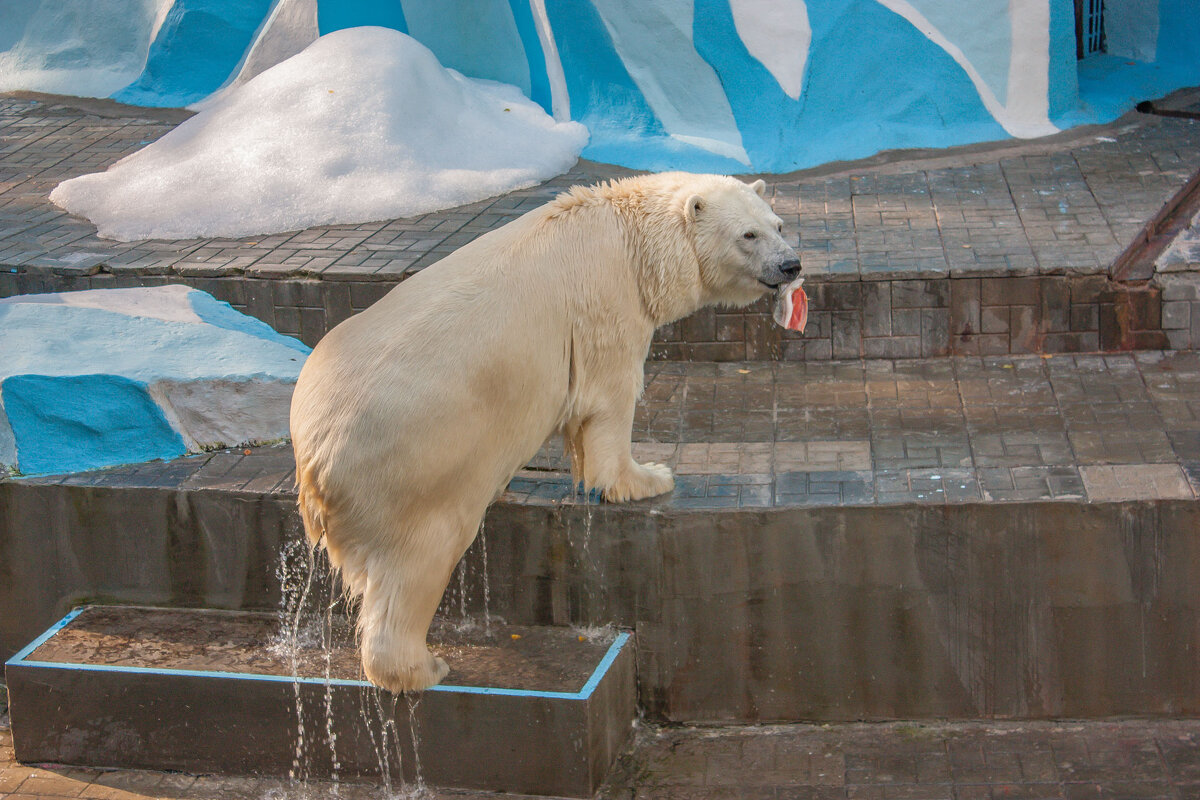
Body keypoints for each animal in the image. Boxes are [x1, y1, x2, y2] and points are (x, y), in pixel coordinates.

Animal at [288, 172, 796, 690]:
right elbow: (608, 399)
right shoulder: (608, 306)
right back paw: (421, 668)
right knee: (419, 560)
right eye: (748, 235)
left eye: (778, 225)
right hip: (413, 464)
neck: (632, 241)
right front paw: (648, 477)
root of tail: (314, 460)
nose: (791, 265)